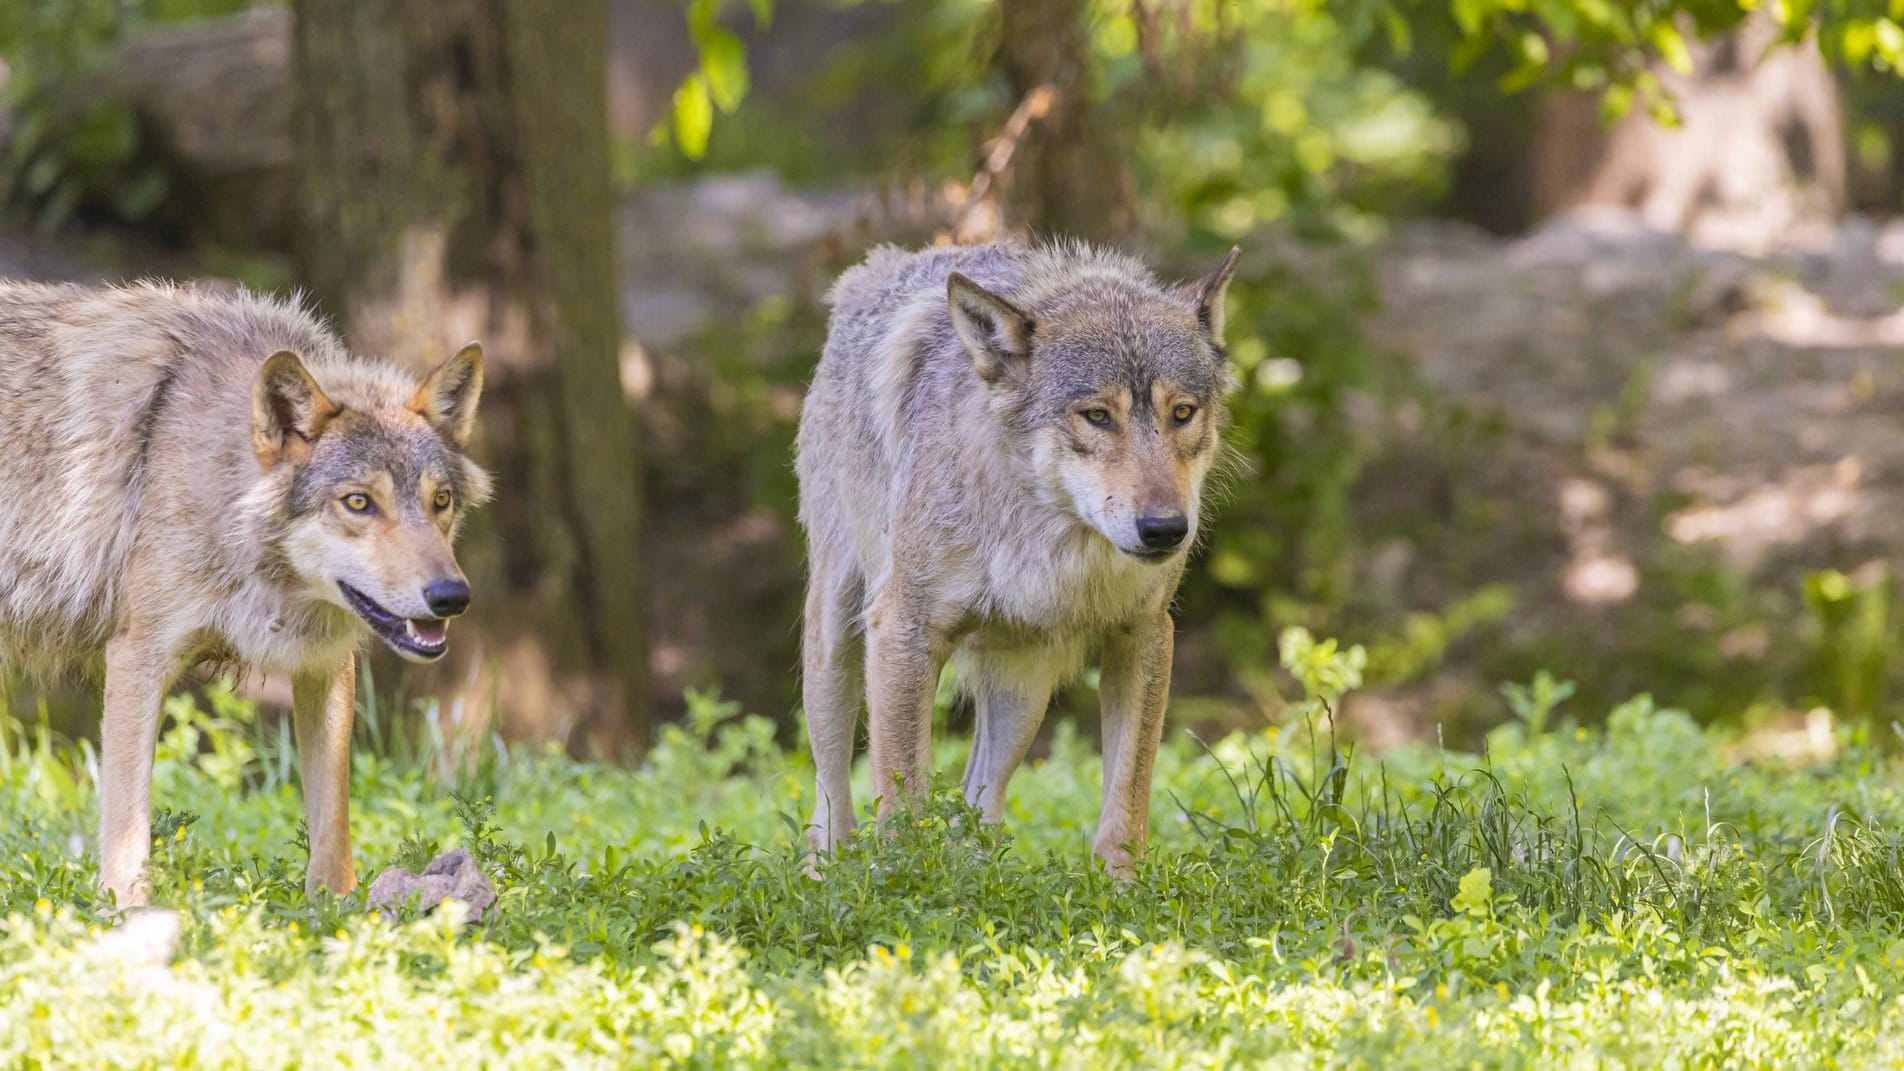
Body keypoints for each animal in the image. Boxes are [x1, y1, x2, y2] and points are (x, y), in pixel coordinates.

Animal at [0, 280, 491, 903]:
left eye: (440, 500)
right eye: (359, 502)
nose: (452, 596)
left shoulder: (324, 664)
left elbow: (333, 828)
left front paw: (336, 912)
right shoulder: (137, 658)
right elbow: (128, 829)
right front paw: (127, 915)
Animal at [795, 237, 1241, 872]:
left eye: (1182, 412)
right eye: (1097, 415)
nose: (1164, 530)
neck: (1047, 539)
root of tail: (877, 266)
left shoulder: (1145, 631)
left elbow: (1128, 800)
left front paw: (1123, 887)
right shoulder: (904, 631)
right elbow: (903, 803)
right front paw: (905, 885)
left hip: (1022, 693)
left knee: (978, 801)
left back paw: (983, 880)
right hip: (835, 646)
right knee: (830, 796)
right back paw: (829, 870)